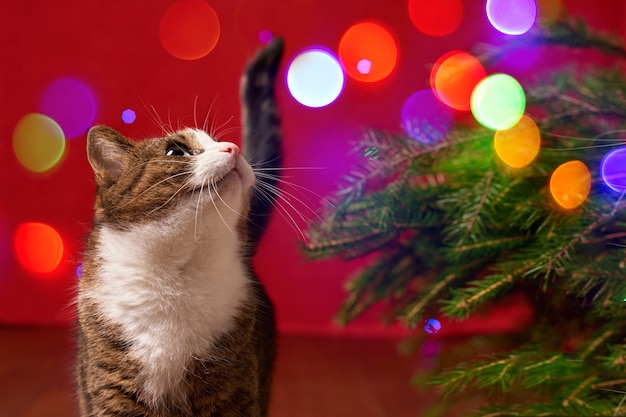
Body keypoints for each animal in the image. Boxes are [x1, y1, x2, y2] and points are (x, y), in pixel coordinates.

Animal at [74, 37, 284, 414]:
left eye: (220, 143)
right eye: (176, 151)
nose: (234, 147)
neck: (178, 272)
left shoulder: (232, 387)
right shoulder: (113, 388)